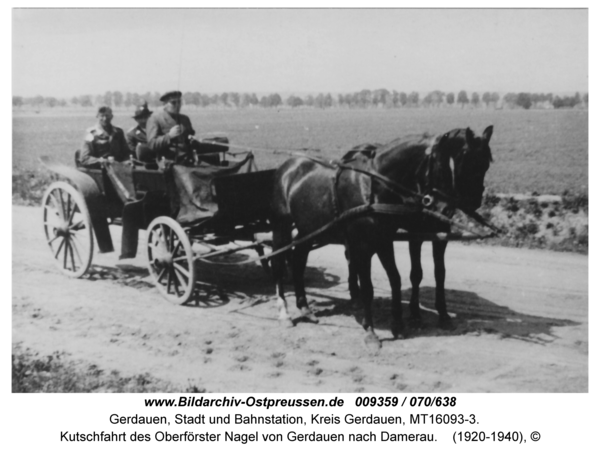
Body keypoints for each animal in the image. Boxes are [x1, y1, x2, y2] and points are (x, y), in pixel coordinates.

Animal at [270, 132, 458, 348]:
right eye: (439, 167)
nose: (447, 209)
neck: (372, 189)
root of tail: (287, 166)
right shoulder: (362, 246)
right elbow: (367, 288)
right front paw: (371, 333)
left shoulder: (383, 241)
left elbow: (395, 279)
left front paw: (397, 325)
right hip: (281, 227)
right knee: (278, 262)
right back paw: (284, 313)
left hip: (308, 230)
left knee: (299, 260)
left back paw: (305, 308)